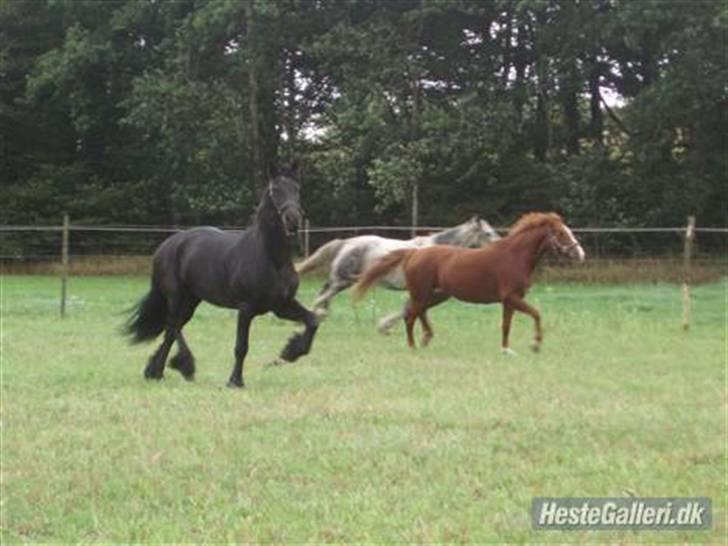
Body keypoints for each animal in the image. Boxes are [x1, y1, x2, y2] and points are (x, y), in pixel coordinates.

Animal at [125, 166, 318, 388]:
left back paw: (156, 372)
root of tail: (167, 245)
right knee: (172, 326)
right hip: (176, 297)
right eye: (274, 190)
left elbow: (313, 320)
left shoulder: (282, 306)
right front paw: (235, 381)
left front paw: (290, 352)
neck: (272, 259)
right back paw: (182, 366)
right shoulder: (246, 308)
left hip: (191, 301)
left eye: (297, 189)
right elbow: (241, 346)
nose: (293, 220)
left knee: (171, 329)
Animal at [296, 216, 500, 332]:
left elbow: (410, 308)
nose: (499, 246)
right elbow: (409, 308)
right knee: (323, 297)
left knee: (324, 294)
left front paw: (386, 327)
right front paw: (384, 327)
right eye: (487, 233)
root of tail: (346, 242)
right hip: (343, 279)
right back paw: (315, 316)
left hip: (342, 281)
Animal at [353, 212, 585, 353]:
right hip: (422, 293)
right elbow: (536, 314)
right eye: (561, 233)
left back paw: (425, 338)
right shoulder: (512, 297)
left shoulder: (509, 300)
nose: (580, 254)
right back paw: (413, 345)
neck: (514, 256)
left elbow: (506, 326)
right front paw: (536, 344)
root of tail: (413, 253)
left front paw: (506, 350)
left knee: (418, 313)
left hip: (433, 295)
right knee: (410, 316)